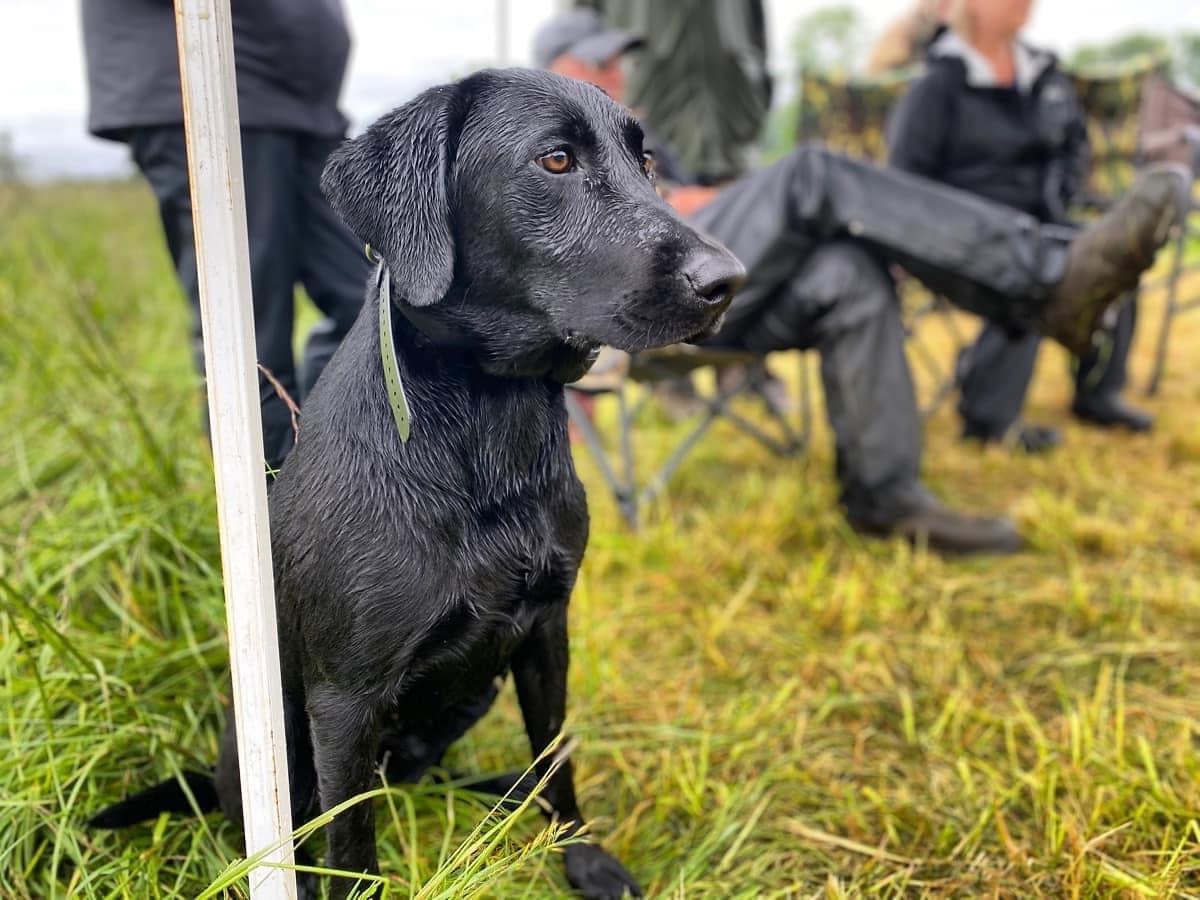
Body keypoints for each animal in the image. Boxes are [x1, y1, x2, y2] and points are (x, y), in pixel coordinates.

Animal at [93, 72, 744, 900]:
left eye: (647, 162)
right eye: (556, 160)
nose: (729, 281)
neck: (489, 433)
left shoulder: (545, 632)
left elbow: (557, 756)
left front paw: (581, 857)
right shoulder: (344, 701)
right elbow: (349, 845)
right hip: (275, 736)